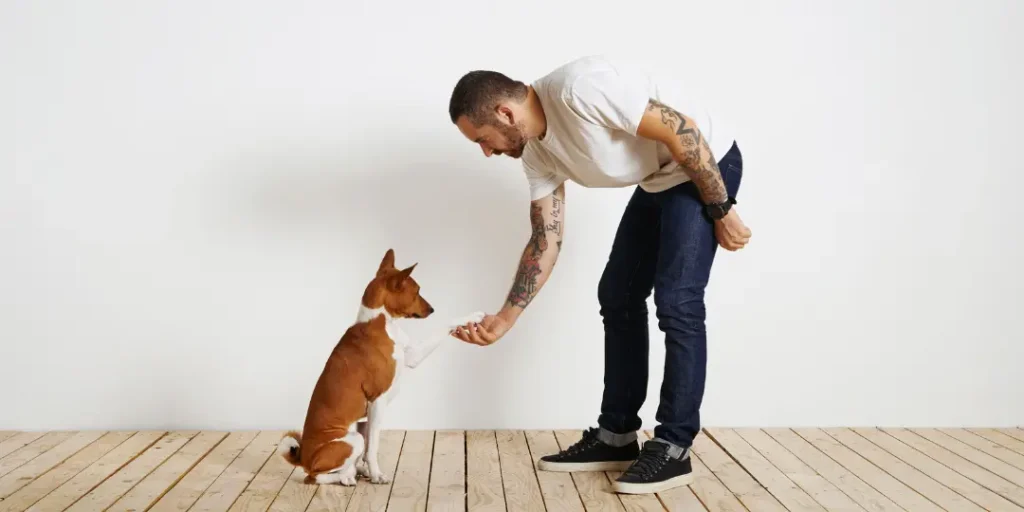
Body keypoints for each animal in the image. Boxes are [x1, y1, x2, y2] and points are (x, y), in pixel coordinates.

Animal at [272, 249, 479, 485]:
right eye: (417, 291)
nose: (432, 309)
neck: (381, 323)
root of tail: (304, 457)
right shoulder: (377, 401)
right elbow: (373, 448)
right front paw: (377, 475)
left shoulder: (413, 355)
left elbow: (445, 325)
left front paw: (473, 316)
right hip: (352, 439)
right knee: (315, 476)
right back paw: (347, 477)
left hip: (359, 428)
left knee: (345, 464)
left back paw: (356, 471)